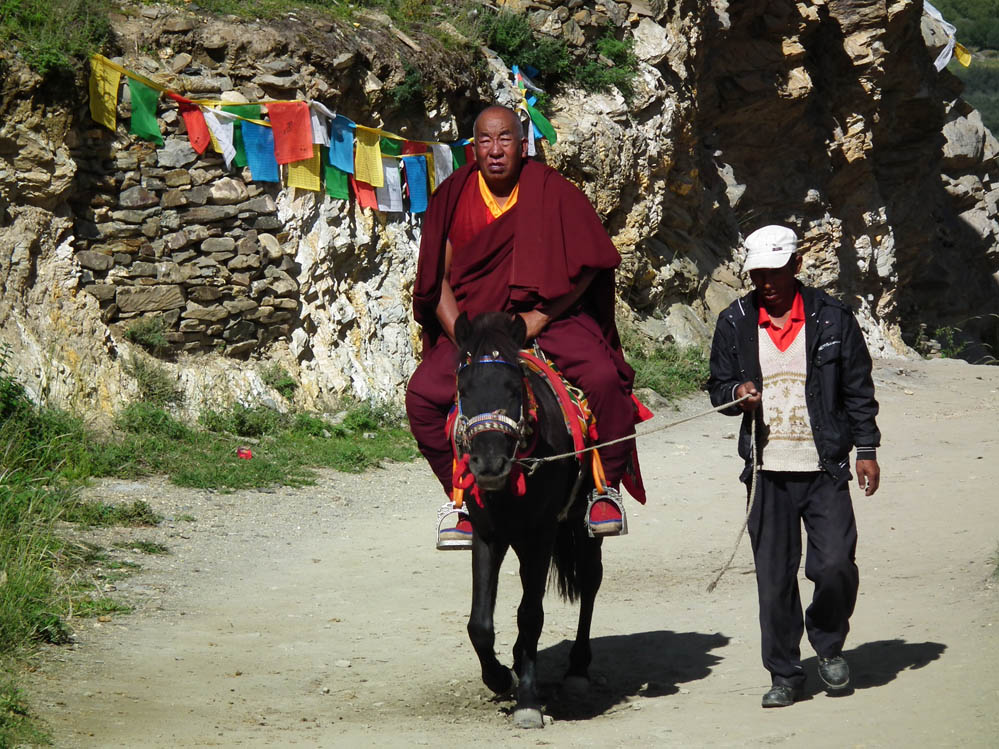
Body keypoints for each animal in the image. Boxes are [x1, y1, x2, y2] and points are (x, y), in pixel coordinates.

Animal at [456, 312, 608, 732]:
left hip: (578, 526)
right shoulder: (488, 535)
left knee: (590, 582)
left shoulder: (541, 534)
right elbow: (479, 623)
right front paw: (498, 677)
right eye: (463, 389)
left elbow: (530, 615)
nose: (489, 464)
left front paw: (527, 701)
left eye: (513, 389)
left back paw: (577, 670)